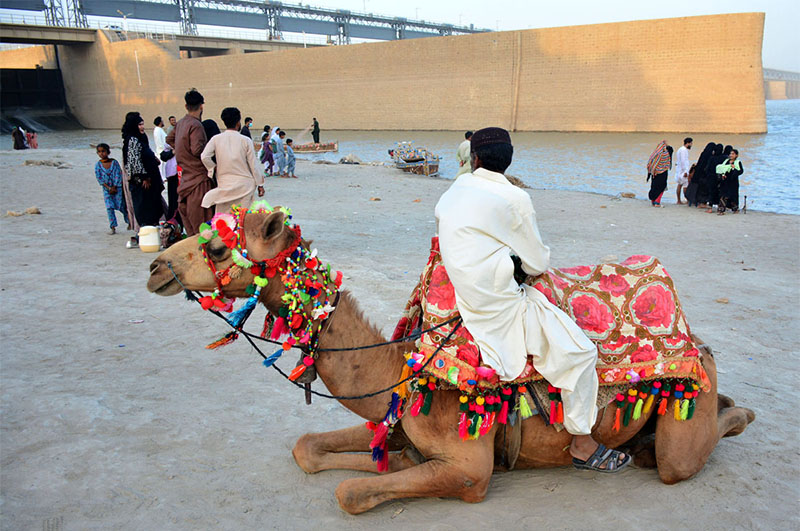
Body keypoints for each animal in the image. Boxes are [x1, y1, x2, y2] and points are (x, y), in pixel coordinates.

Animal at [148, 208, 756, 516]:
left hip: (687, 412)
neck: (400, 368)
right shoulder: (392, 417)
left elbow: (352, 493)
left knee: (687, 453)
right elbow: (308, 448)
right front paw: (389, 458)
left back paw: (733, 418)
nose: (155, 267)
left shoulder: (471, 470)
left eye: (218, 247)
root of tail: (698, 342)